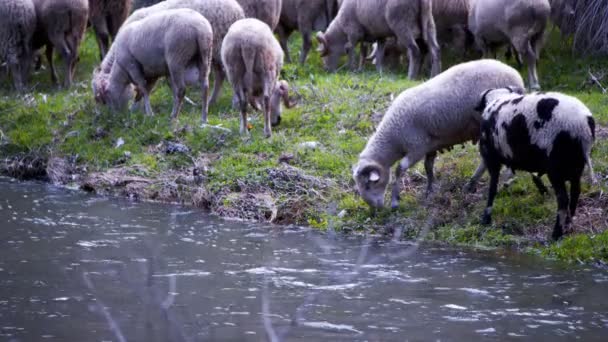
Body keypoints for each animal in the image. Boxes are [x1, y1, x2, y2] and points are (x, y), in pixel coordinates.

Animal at [352, 60, 524, 210]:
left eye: (368, 184)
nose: (375, 209)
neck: (393, 137)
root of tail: (516, 75)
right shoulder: (430, 145)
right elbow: (428, 167)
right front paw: (429, 190)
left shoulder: (417, 147)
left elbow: (400, 169)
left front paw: (395, 201)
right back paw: (474, 184)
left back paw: (502, 181)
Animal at [478, 87, 596, 240]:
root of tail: (583, 124)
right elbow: (534, 175)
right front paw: (542, 188)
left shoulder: (491, 158)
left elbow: (492, 189)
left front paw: (486, 218)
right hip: (575, 165)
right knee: (575, 193)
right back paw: (568, 226)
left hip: (556, 167)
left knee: (563, 200)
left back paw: (556, 234)